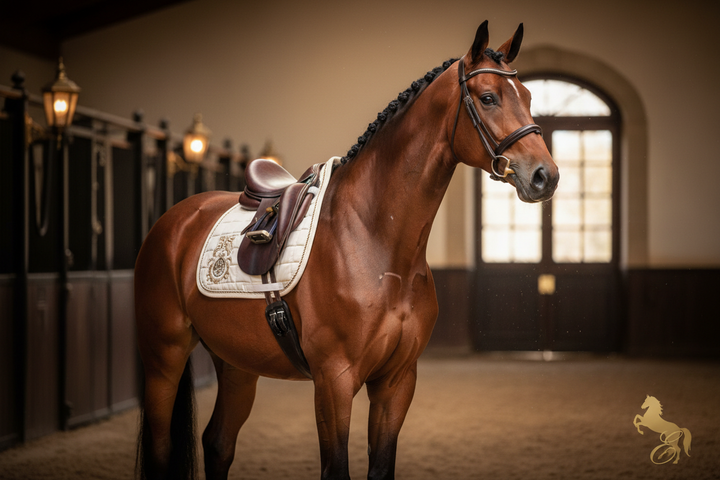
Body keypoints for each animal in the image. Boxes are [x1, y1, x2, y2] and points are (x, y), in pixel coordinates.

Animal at [134, 20, 558, 480]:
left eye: (529, 97)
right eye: (488, 97)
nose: (546, 175)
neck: (375, 241)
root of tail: (174, 219)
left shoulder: (396, 382)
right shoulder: (334, 381)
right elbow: (336, 468)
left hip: (237, 365)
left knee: (218, 444)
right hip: (164, 358)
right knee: (162, 448)